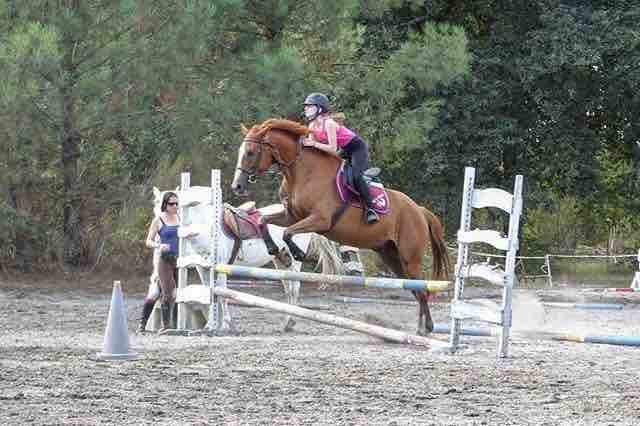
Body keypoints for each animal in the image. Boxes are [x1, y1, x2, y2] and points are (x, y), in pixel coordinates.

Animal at [149, 186, 348, 330]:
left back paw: (289, 321)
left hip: (294, 262)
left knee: (294, 288)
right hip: (280, 261)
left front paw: (225, 324)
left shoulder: (221, 267)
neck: (205, 228)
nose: (158, 226)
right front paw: (211, 324)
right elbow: (210, 294)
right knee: (288, 288)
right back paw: (287, 322)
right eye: (156, 203)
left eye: (173, 203)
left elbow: (222, 295)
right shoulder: (203, 268)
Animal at [231, 118, 450, 334]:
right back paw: (421, 328)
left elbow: (287, 233)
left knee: (421, 287)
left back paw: (426, 328)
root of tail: (419, 209)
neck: (303, 172)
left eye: (250, 152)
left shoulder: (320, 220)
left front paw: (296, 254)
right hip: (391, 256)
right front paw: (276, 251)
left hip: (410, 258)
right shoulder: (291, 216)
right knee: (415, 288)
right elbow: (264, 221)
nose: (237, 187)